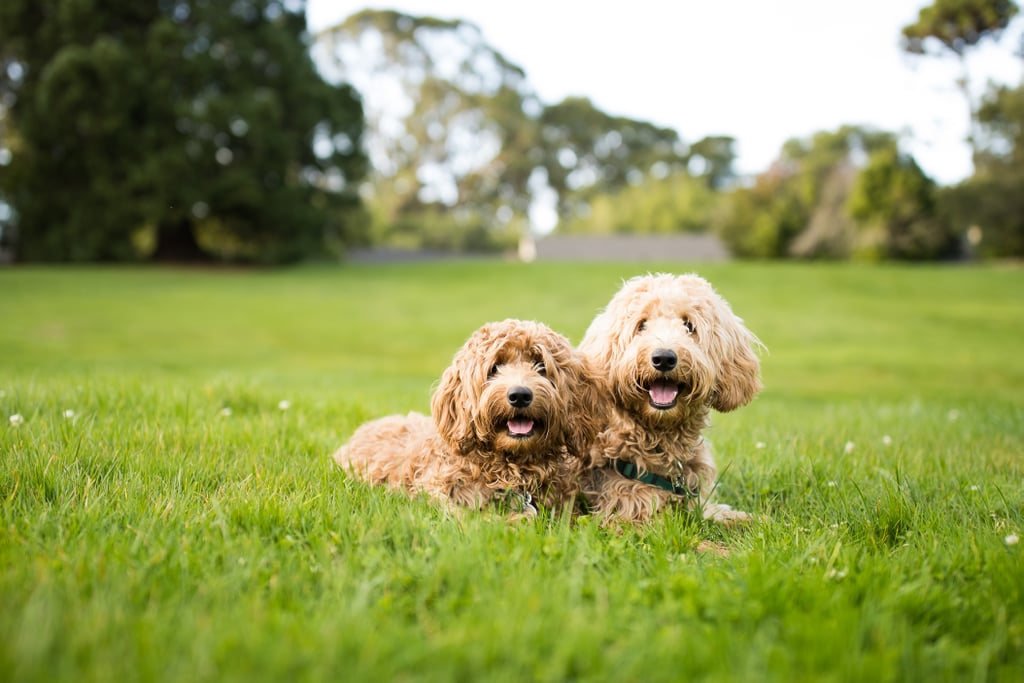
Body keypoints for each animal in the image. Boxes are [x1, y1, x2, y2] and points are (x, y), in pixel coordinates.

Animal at [577, 272, 761, 524]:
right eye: (641, 325)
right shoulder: (633, 509)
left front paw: (750, 518)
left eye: (689, 325)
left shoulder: (695, 502)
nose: (663, 358)